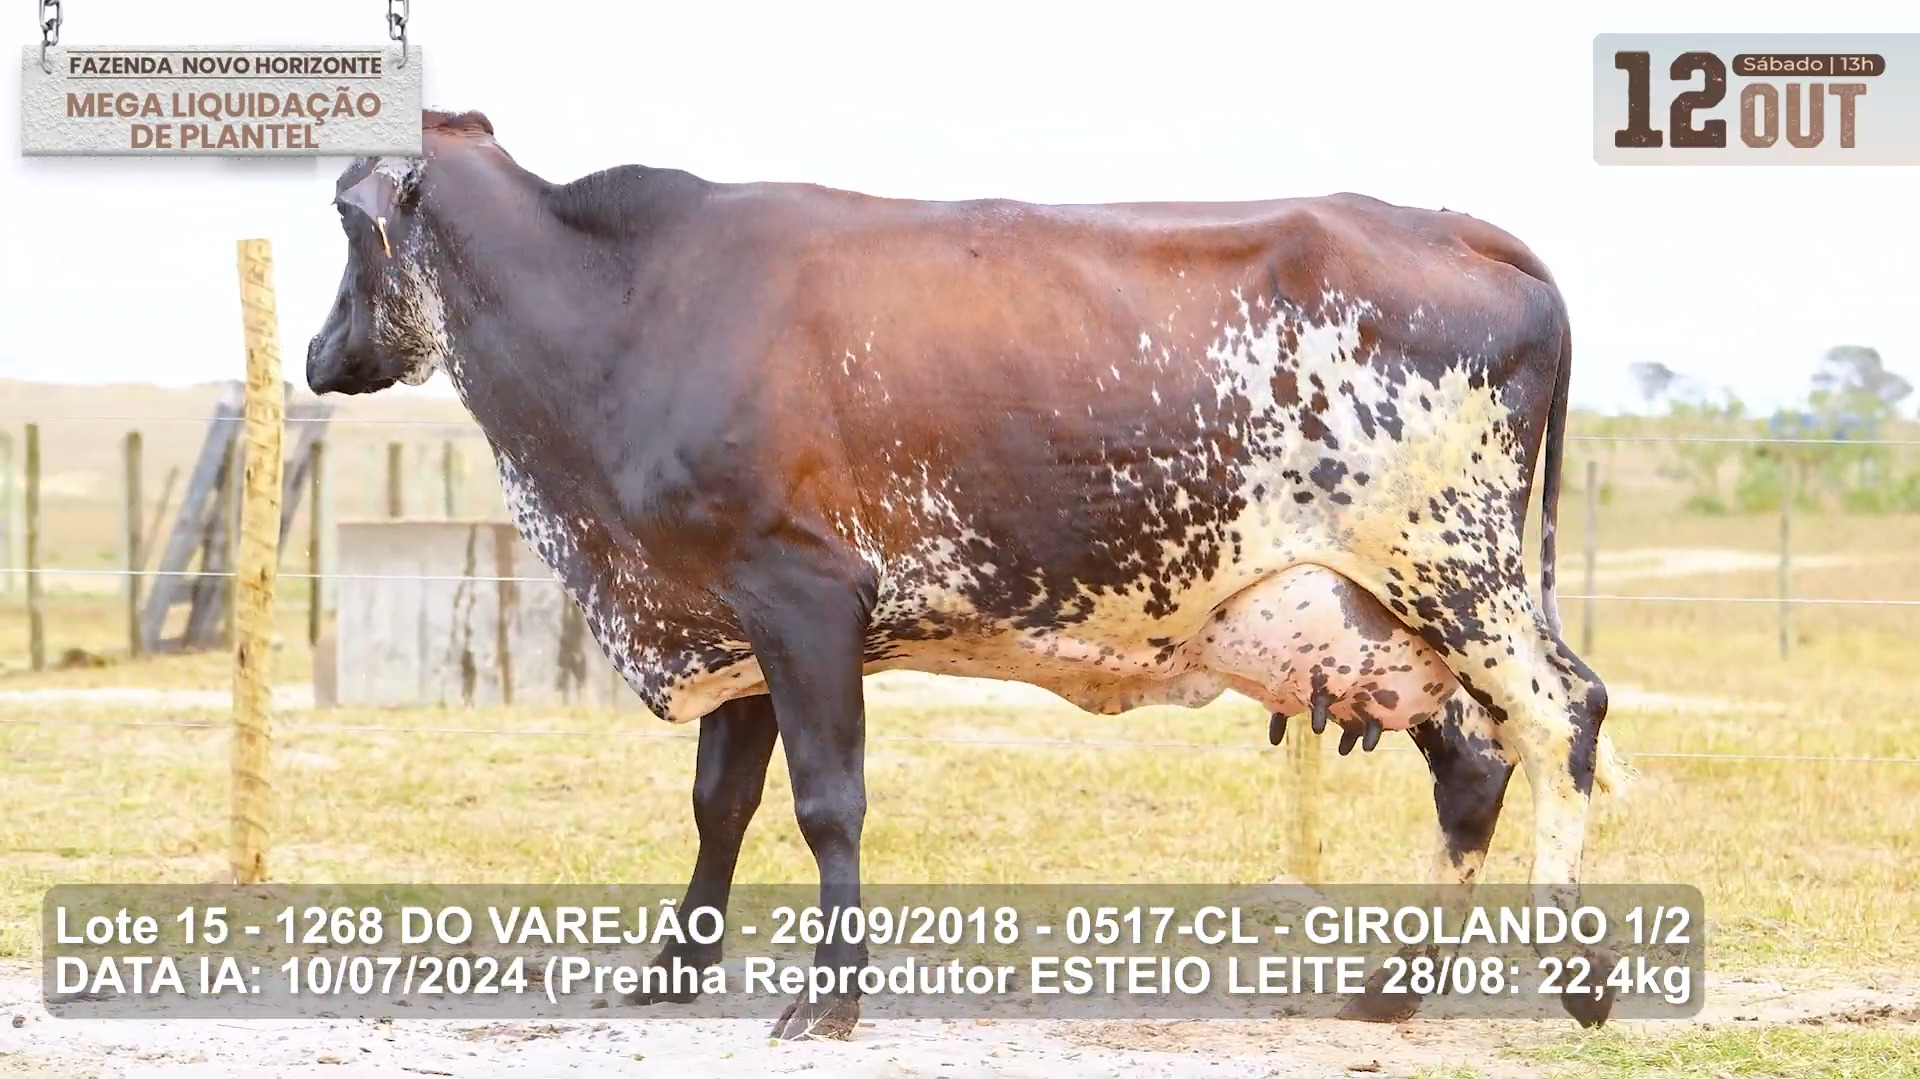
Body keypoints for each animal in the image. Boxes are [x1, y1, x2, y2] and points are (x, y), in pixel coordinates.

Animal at [307, 110, 1624, 1039]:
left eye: (341, 217)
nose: (319, 354)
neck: (624, 312)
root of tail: (1455, 226)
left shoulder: (801, 593)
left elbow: (827, 800)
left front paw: (830, 996)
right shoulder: (729, 614)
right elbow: (720, 801)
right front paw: (675, 969)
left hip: (1455, 567)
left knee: (1564, 711)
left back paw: (1578, 972)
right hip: (1377, 615)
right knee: (1476, 761)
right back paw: (1393, 985)